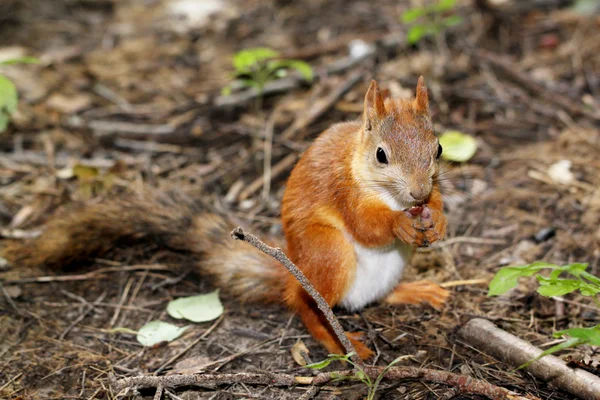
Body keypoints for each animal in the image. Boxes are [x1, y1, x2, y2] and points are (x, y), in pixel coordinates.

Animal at [0, 77, 448, 360]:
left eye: (439, 148)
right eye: (381, 155)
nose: (417, 194)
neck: (387, 194)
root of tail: (292, 271)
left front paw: (438, 218)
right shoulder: (344, 190)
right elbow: (366, 226)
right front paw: (399, 224)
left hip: (388, 267)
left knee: (374, 295)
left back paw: (415, 290)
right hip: (329, 254)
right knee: (304, 304)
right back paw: (337, 341)